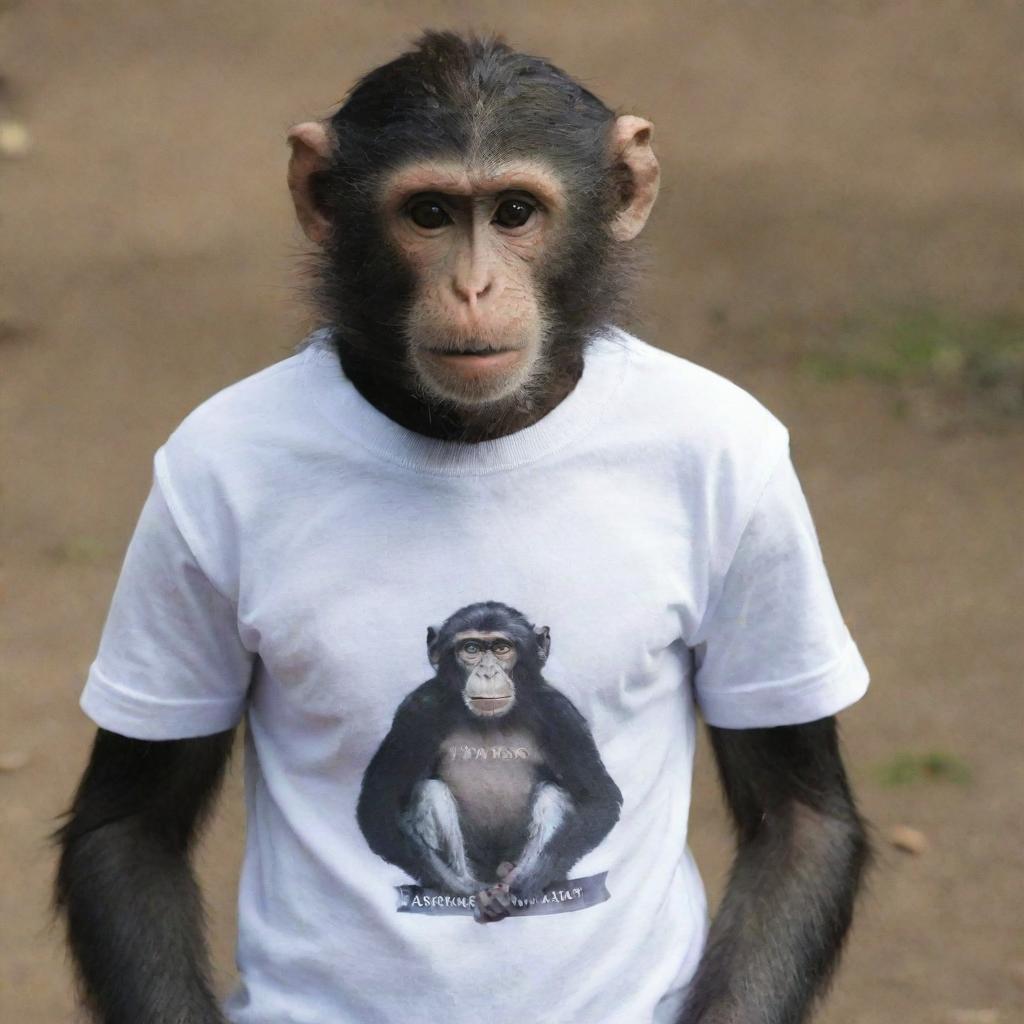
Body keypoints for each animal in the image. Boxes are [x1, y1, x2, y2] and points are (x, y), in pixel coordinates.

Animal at [356, 598, 618, 921]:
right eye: (471, 649)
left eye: (502, 648)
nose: (488, 672)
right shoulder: (416, 712)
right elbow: (378, 807)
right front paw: (466, 891)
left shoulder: (560, 714)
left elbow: (599, 800)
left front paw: (520, 888)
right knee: (431, 792)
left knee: (553, 794)